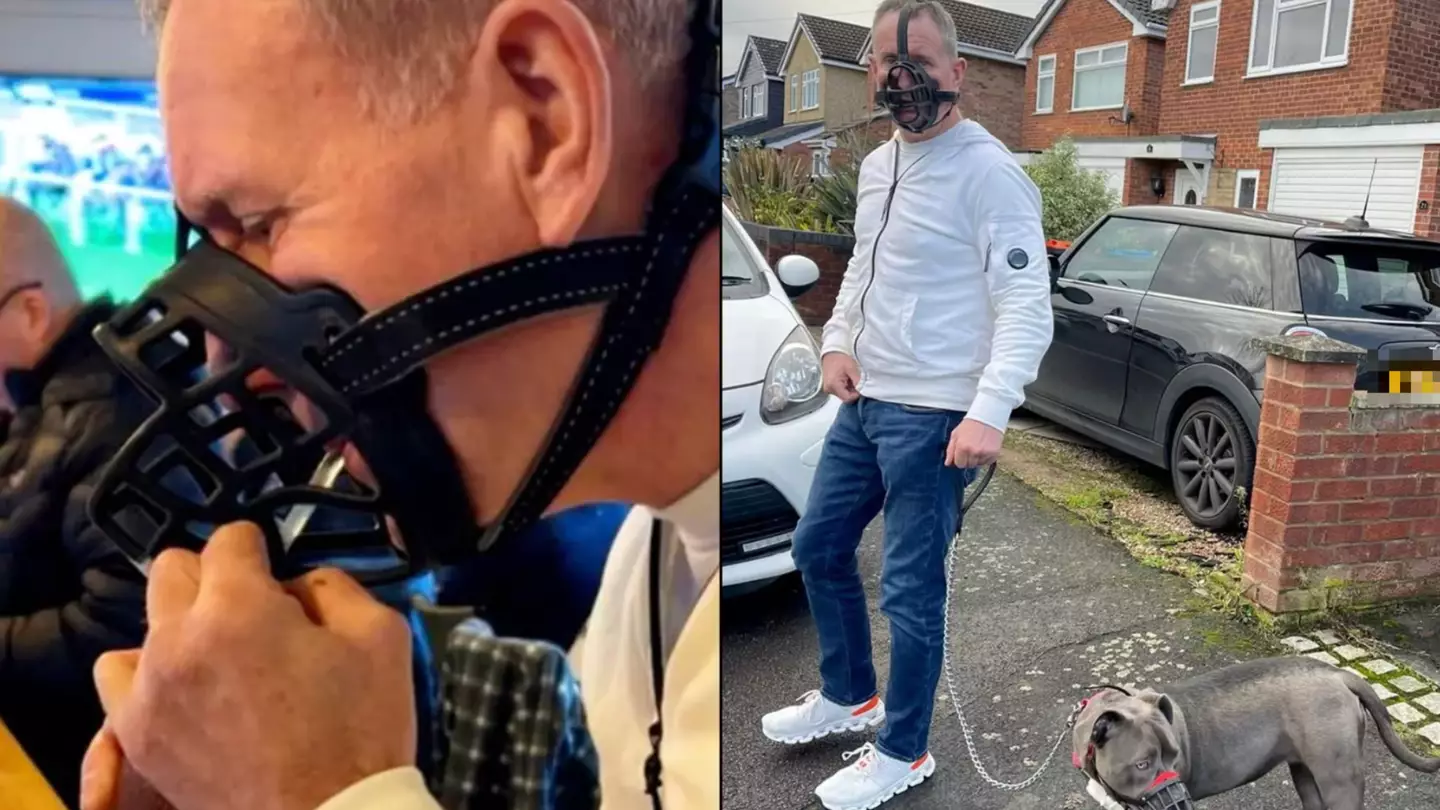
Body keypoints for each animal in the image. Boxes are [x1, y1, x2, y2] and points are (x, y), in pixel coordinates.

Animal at [1071, 657, 1440, 807]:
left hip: (1339, 778)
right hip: (1306, 774)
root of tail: (1339, 674)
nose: (1180, 799)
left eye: (1175, 758)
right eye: (1142, 764)